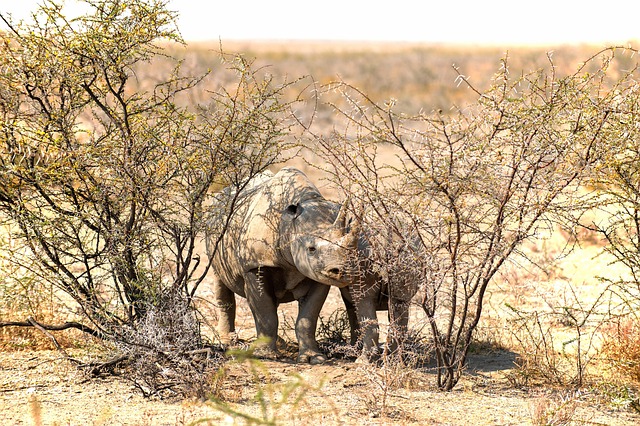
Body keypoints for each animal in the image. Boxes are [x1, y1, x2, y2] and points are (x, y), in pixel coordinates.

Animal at [206, 167, 358, 364]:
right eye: (311, 249)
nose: (340, 272)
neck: (289, 224)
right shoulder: (255, 265)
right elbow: (266, 313)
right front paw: (265, 356)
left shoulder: (317, 273)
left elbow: (307, 319)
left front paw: (314, 358)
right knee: (221, 282)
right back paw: (228, 342)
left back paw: (281, 344)